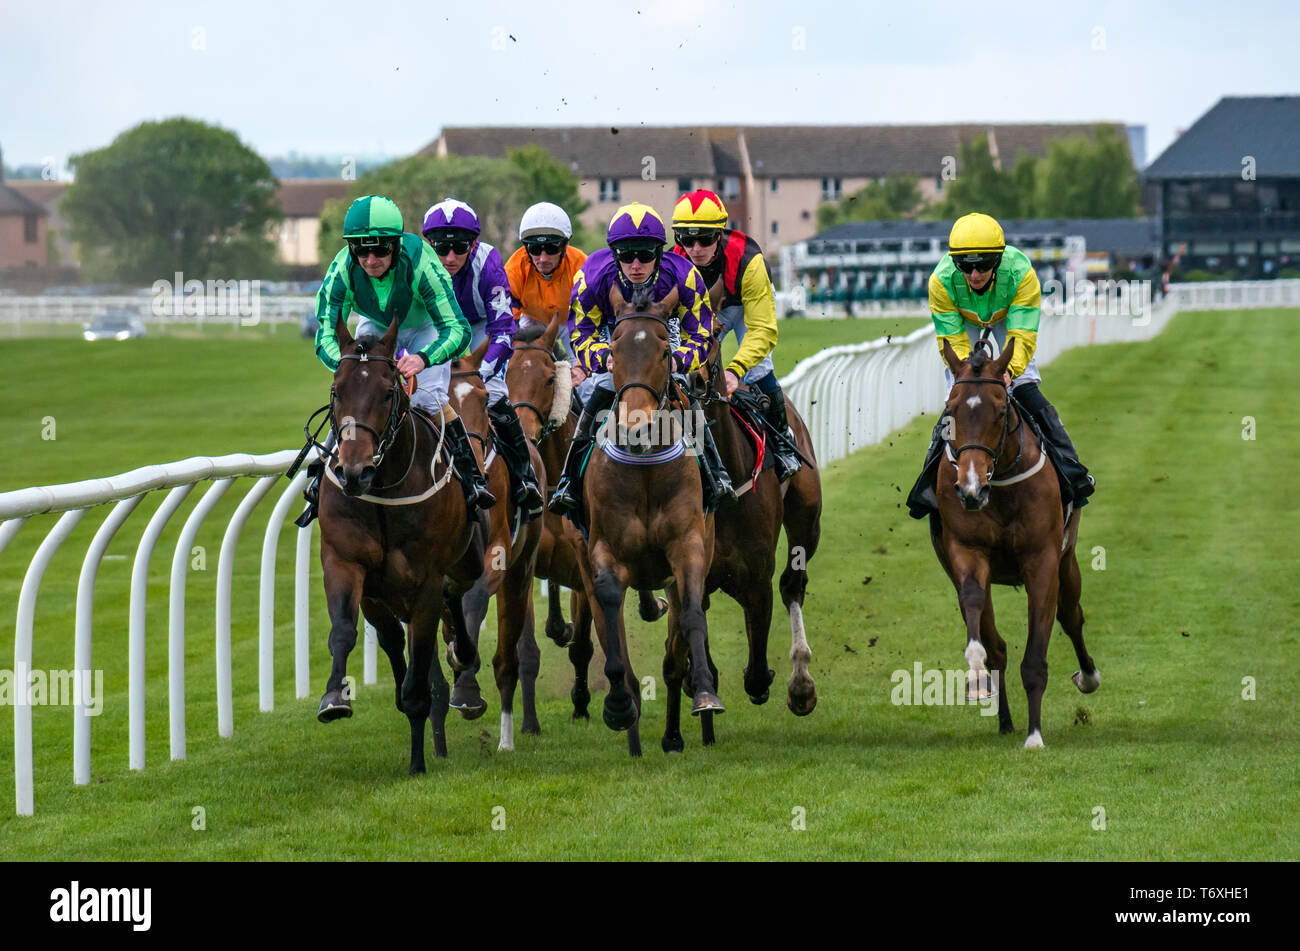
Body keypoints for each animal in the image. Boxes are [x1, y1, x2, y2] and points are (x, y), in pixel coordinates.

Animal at [313, 311, 483, 774]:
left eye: (388, 393)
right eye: (336, 391)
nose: (354, 471)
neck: (383, 489)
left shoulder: (425, 585)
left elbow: (417, 682)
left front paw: (418, 763)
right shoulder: (347, 565)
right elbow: (343, 630)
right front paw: (334, 697)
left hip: (468, 560)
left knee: (456, 595)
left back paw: (463, 654)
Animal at [441, 345, 543, 748]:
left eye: (484, 401)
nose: (474, 466)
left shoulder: (497, 553)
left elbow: (475, 598)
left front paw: (468, 689)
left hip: (522, 568)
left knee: (507, 660)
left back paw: (506, 737)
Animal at [577, 285, 722, 753]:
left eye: (663, 352)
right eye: (614, 352)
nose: (636, 426)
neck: (643, 465)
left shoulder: (688, 546)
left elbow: (693, 616)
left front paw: (705, 694)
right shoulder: (602, 549)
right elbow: (608, 610)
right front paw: (619, 705)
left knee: (675, 651)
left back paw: (679, 730)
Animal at [930, 337, 1102, 748]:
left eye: (999, 411)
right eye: (950, 411)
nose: (970, 488)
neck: (1000, 484)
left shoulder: (1042, 561)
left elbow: (1036, 655)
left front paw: (1035, 735)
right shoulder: (966, 552)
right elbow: (974, 605)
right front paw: (976, 672)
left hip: (1067, 561)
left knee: (1071, 616)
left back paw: (1087, 676)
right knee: (997, 644)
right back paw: (1004, 718)